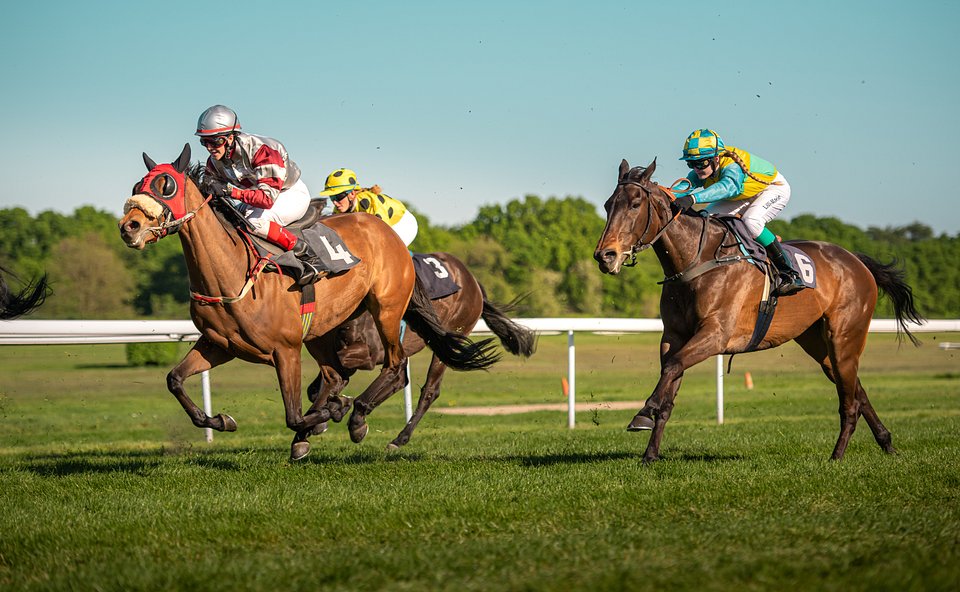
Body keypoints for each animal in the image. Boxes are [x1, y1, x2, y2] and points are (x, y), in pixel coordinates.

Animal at [117, 146, 498, 460]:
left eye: (166, 185)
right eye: (138, 184)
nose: (128, 226)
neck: (232, 270)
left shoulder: (286, 349)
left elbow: (294, 413)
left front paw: (332, 414)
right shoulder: (220, 344)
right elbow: (175, 380)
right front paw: (223, 420)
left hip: (387, 310)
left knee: (398, 368)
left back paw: (362, 419)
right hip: (322, 330)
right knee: (336, 375)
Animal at [308, 250, 536, 448]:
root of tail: (472, 280)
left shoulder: (370, 352)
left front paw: (338, 412)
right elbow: (322, 383)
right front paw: (327, 413)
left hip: (448, 339)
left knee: (429, 390)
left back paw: (398, 437)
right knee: (401, 379)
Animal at [592, 160, 924, 464]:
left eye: (635, 204)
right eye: (608, 205)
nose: (604, 255)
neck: (697, 261)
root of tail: (856, 260)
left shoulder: (716, 334)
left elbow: (672, 368)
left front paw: (643, 413)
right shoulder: (673, 336)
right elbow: (669, 385)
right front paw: (650, 453)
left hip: (844, 335)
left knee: (850, 400)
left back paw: (837, 455)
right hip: (818, 343)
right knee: (855, 388)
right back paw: (886, 442)